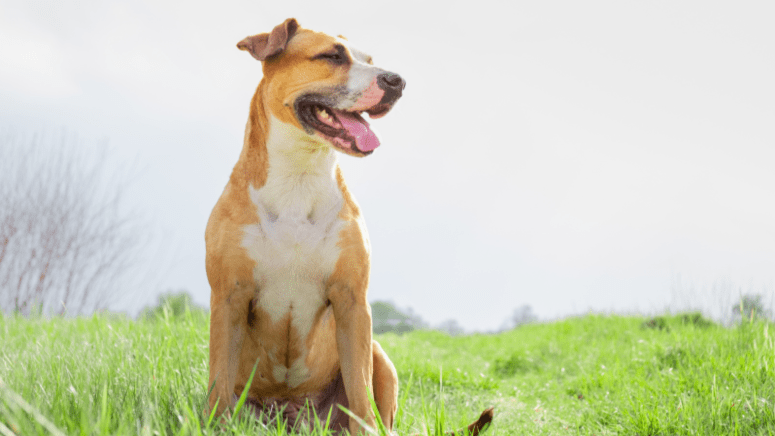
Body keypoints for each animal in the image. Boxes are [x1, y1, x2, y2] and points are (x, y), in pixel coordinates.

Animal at [206, 18, 494, 434]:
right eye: (331, 56)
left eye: (370, 60)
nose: (397, 80)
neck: (300, 175)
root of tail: (294, 417)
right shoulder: (229, 296)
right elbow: (220, 378)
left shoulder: (352, 299)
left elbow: (360, 388)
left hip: (381, 358)